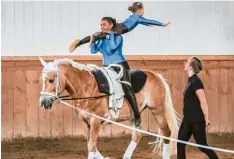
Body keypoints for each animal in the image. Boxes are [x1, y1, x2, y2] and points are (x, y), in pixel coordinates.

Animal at [38, 57, 179, 159]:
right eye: (43, 80)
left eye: (51, 80)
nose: (43, 102)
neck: (86, 88)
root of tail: (157, 76)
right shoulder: (84, 121)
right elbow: (90, 144)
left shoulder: (95, 121)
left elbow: (92, 146)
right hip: (134, 115)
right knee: (137, 135)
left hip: (157, 110)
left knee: (166, 132)